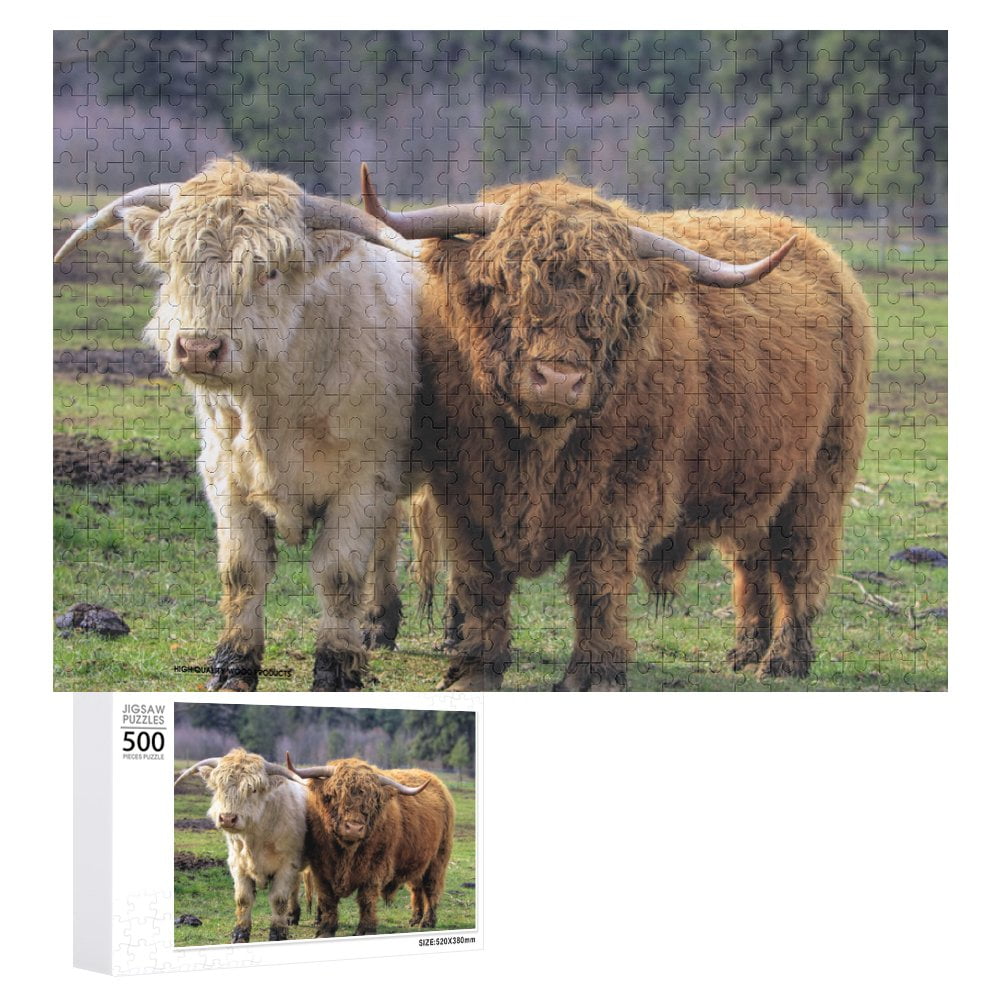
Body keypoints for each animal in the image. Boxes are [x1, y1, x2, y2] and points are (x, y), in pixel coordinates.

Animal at [54, 157, 422, 691]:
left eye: (268, 271)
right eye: (177, 265)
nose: (199, 348)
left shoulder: (365, 477)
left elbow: (338, 574)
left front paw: (336, 668)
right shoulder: (225, 473)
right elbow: (243, 570)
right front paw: (233, 665)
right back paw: (378, 625)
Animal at [174, 748, 309, 942]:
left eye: (253, 789)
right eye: (219, 786)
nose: (227, 818)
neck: (254, 840)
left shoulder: (287, 865)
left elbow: (278, 900)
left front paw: (277, 934)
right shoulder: (237, 864)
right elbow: (243, 899)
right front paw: (239, 935)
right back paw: (292, 916)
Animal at [285, 754, 455, 936]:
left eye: (372, 801)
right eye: (334, 795)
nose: (354, 828)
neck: (346, 853)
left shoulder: (374, 868)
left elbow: (367, 898)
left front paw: (365, 929)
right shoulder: (322, 868)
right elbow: (327, 899)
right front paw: (325, 929)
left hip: (438, 859)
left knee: (431, 888)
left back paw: (427, 921)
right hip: (416, 858)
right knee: (416, 887)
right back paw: (415, 918)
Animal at [362, 166, 873, 691]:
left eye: (612, 302)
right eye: (504, 285)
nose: (559, 379)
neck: (538, 448)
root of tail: (822, 254)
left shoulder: (621, 494)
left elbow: (597, 583)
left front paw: (593, 674)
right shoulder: (465, 493)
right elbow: (479, 580)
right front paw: (473, 669)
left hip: (819, 476)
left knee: (797, 564)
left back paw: (785, 659)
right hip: (756, 472)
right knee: (751, 560)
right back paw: (746, 650)